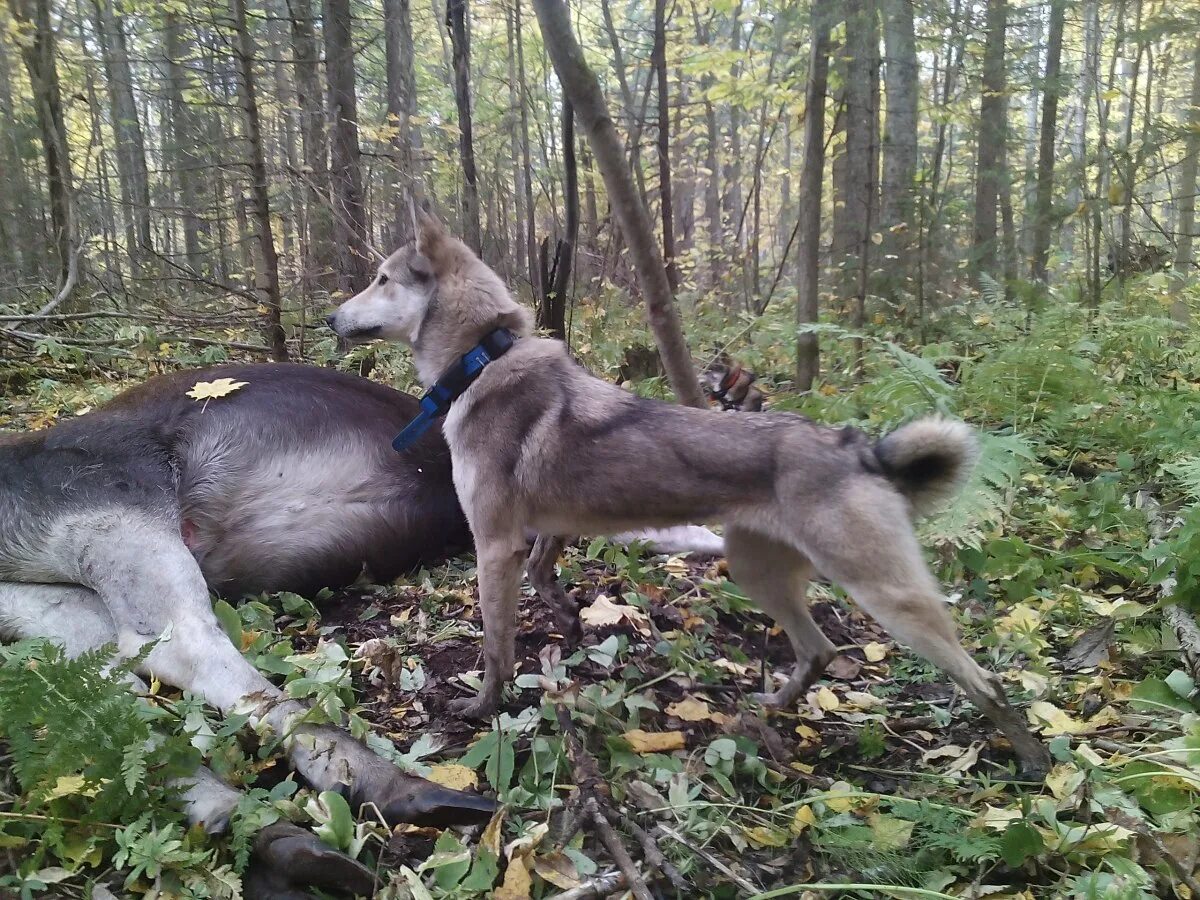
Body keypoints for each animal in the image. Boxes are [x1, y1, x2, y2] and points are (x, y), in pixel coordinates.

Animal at [328, 210, 1051, 777]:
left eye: (382, 279)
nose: (331, 316)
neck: (485, 357)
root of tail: (857, 447)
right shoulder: (548, 526)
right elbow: (543, 574)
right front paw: (567, 619)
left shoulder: (494, 544)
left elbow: (497, 647)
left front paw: (483, 708)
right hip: (758, 570)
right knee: (819, 651)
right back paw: (770, 710)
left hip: (885, 594)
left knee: (986, 682)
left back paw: (1032, 761)